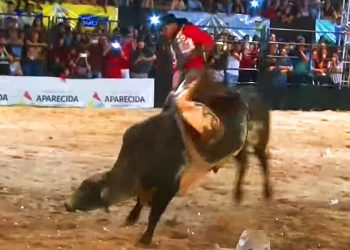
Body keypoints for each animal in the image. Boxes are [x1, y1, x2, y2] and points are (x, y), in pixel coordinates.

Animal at [65, 74, 274, 246]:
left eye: (87, 190)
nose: (67, 204)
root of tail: (253, 93)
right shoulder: (147, 183)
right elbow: (140, 200)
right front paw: (131, 218)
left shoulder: (170, 186)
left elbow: (155, 213)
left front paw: (145, 239)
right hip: (240, 148)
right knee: (244, 164)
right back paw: (238, 194)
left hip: (259, 140)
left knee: (263, 161)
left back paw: (267, 192)